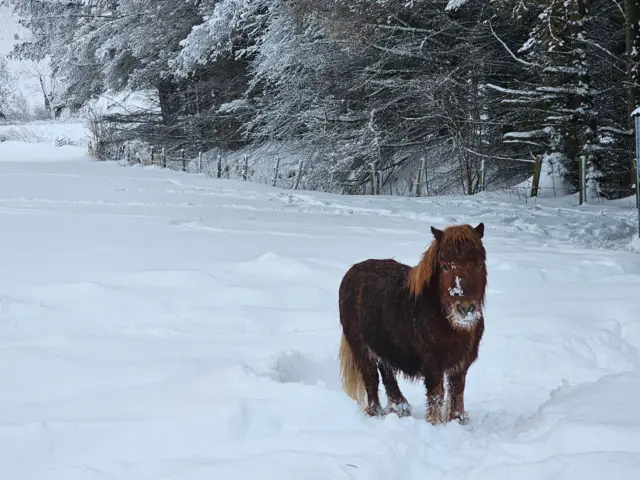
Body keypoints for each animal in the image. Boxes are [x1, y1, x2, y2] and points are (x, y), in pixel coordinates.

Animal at [338, 222, 487, 425]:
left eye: (479, 264)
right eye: (445, 266)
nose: (465, 309)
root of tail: (351, 272)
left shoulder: (460, 366)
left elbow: (457, 395)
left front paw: (457, 422)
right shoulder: (432, 366)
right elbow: (436, 396)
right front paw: (435, 424)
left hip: (384, 347)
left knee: (387, 375)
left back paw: (399, 408)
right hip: (361, 350)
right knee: (371, 381)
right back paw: (377, 414)